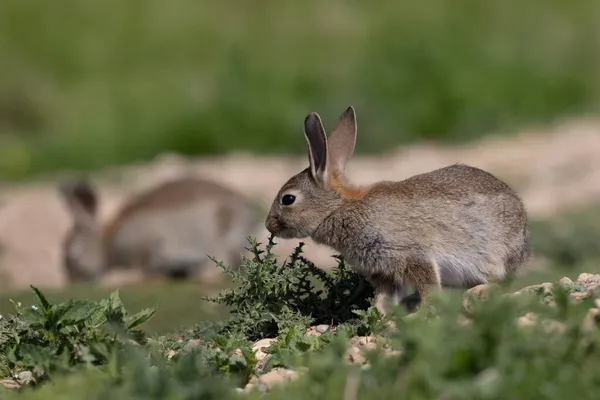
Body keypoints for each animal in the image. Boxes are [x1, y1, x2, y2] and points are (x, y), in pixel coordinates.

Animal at [264, 106, 532, 316]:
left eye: (288, 199)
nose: (269, 225)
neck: (338, 208)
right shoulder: (384, 273)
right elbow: (384, 297)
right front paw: (379, 316)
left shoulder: (413, 255)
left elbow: (428, 286)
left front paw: (421, 313)